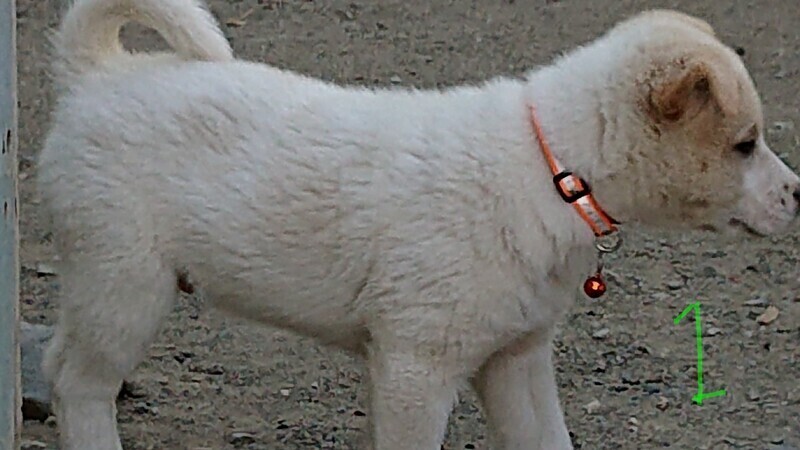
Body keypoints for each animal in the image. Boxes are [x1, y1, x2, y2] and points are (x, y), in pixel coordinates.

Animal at [36, 0, 800, 448]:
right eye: (744, 144)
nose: (798, 194)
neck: (553, 166)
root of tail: (98, 75)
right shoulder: (416, 367)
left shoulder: (516, 359)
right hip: (124, 283)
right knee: (81, 385)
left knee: (60, 366)